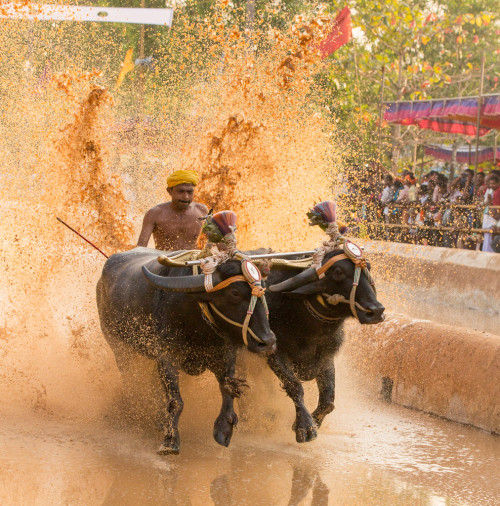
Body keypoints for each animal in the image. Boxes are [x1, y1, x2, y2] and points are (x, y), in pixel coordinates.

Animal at [95, 246, 276, 454]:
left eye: (263, 288)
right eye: (235, 293)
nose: (268, 342)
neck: (199, 325)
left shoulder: (225, 354)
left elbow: (228, 388)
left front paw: (224, 428)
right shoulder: (167, 356)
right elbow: (175, 401)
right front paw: (170, 441)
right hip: (118, 345)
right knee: (129, 377)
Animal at [264, 249, 384, 442]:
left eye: (369, 268)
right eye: (338, 272)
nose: (376, 311)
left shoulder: (326, 357)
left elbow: (328, 400)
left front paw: (315, 422)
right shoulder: (275, 355)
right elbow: (295, 386)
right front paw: (305, 426)